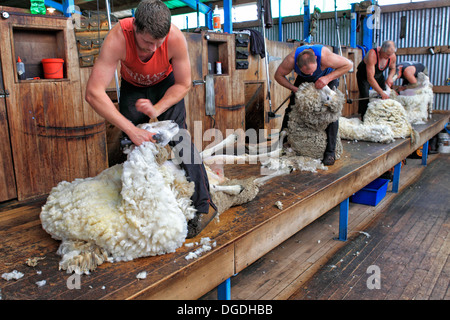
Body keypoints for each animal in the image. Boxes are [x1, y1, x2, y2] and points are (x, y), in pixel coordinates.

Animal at [43, 121, 288, 274]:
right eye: (149, 128)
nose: (172, 123)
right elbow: (217, 187)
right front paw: (237, 187)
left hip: (201, 165)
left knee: (219, 155)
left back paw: (266, 148)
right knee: (235, 162)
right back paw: (275, 159)